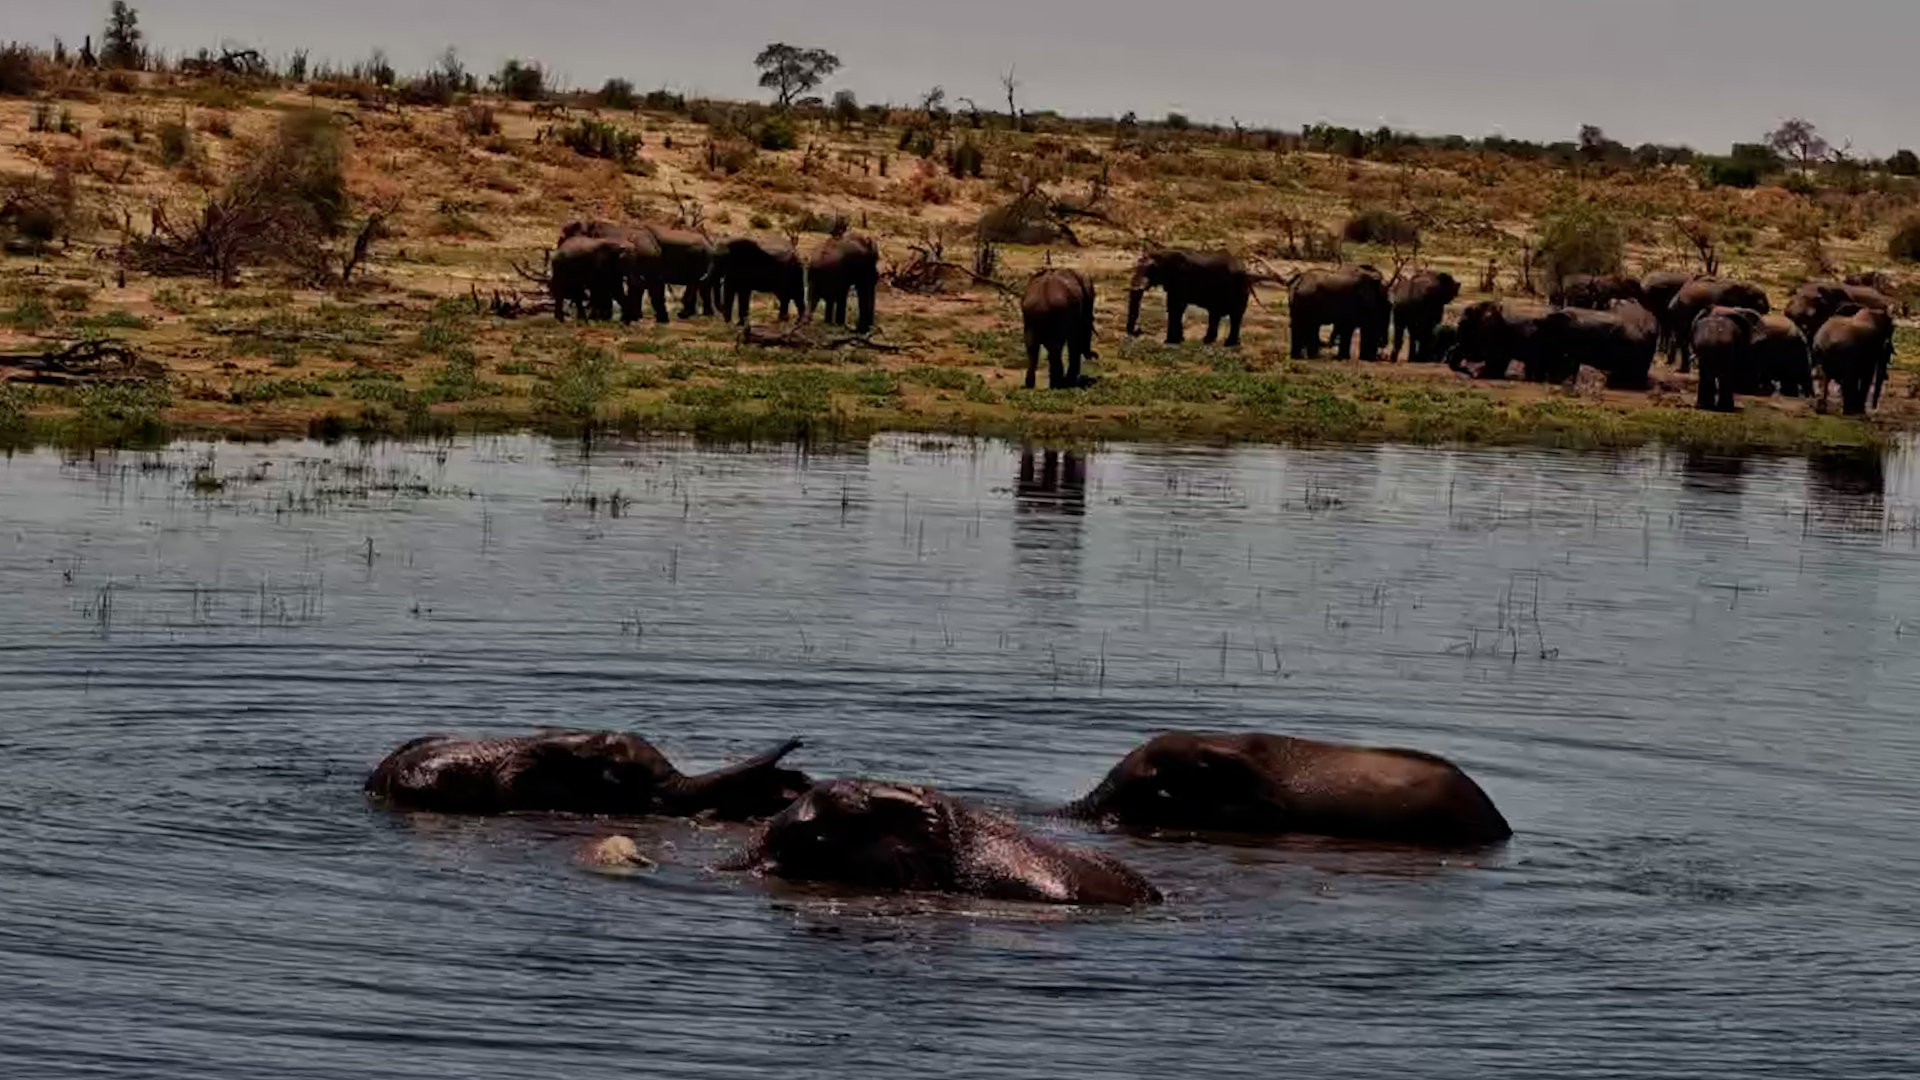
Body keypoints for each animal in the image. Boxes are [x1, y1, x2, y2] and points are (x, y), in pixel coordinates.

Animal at [1124, 248, 1254, 347]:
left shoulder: (1181, 281)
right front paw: (1179, 340)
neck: (1162, 254)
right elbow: (1174, 307)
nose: (1138, 331)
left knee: (1235, 315)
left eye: (1150, 270)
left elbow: (1176, 306)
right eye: (1135, 267)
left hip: (1240, 288)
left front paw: (1170, 342)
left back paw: (1229, 344)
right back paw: (1209, 341)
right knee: (1217, 314)